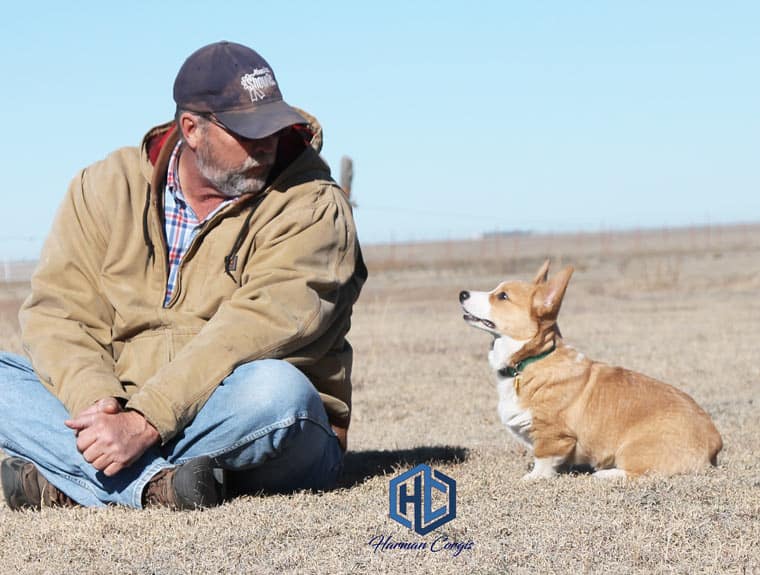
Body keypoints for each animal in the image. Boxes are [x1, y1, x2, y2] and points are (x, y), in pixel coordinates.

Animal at [460, 260, 720, 482]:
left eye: (502, 296)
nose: (462, 293)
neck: (530, 361)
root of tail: (715, 441)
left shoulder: (551, 434)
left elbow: (543, 459)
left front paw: (533, 477)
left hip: (633, 449)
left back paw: (605, 474)